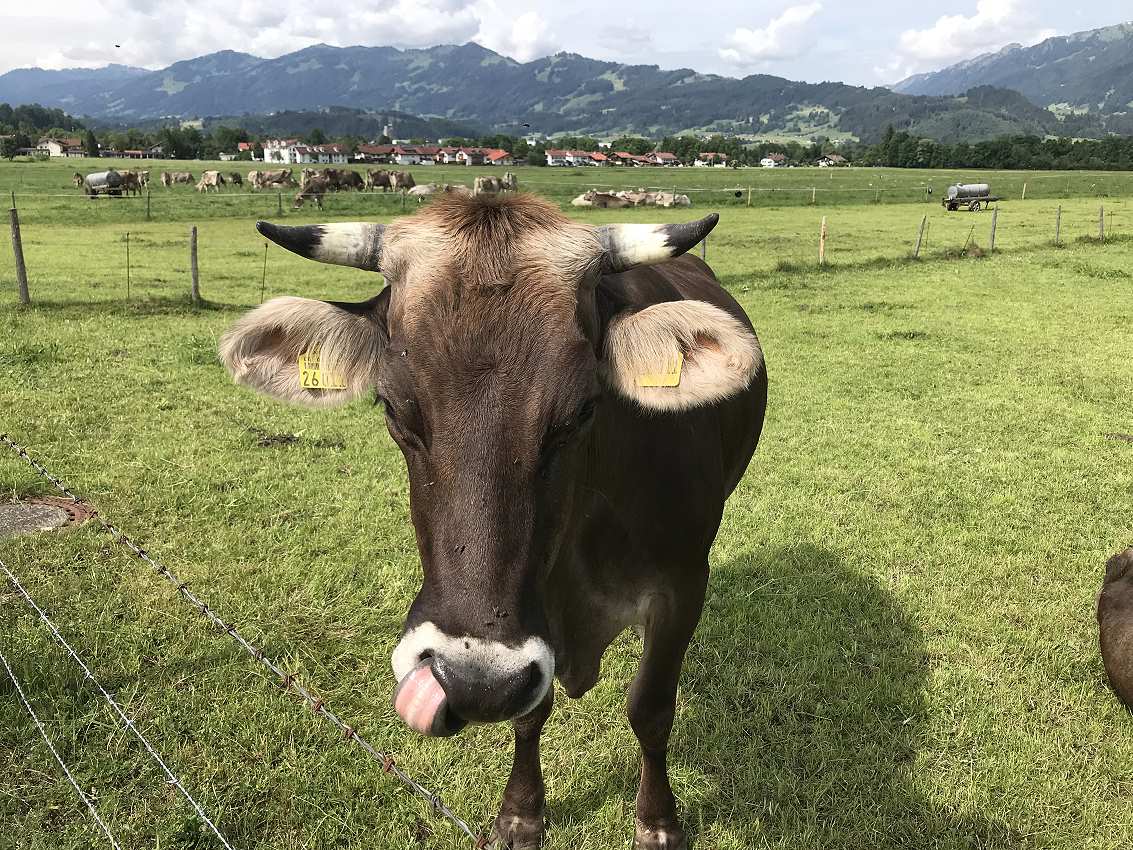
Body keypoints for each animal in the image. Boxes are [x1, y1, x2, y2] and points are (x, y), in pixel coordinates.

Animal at [218, 193, 767, 850]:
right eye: (393, 408)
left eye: (582, 410)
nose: (473, 680)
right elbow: (531, 713)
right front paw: (521, 813)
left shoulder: (683, 586)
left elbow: (652, 709)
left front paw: (658, 821)